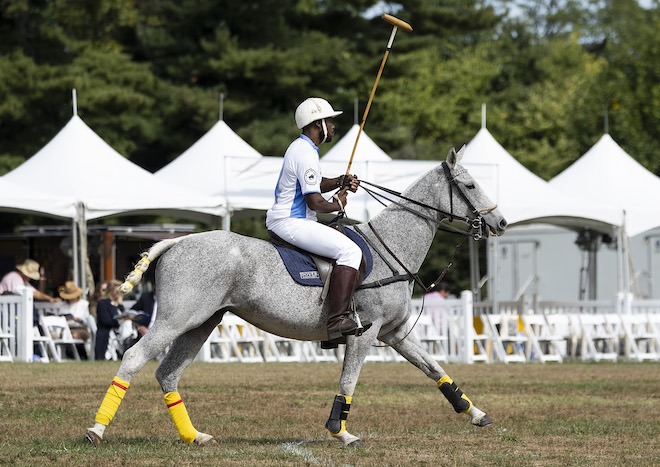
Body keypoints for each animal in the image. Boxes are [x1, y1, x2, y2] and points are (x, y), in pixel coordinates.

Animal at [85, 146, 508, 446]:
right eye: (470, 185)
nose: (501, 222)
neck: (392, 247)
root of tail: (178, 241)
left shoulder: (395, 333)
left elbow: (435, 369)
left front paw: (476, 413)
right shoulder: (366, 332)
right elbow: (349, 381)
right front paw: (340, 430)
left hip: (201, 322)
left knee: (168, 373)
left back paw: (194, 436)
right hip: (177, 317)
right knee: (134, 357)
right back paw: (96, 430)